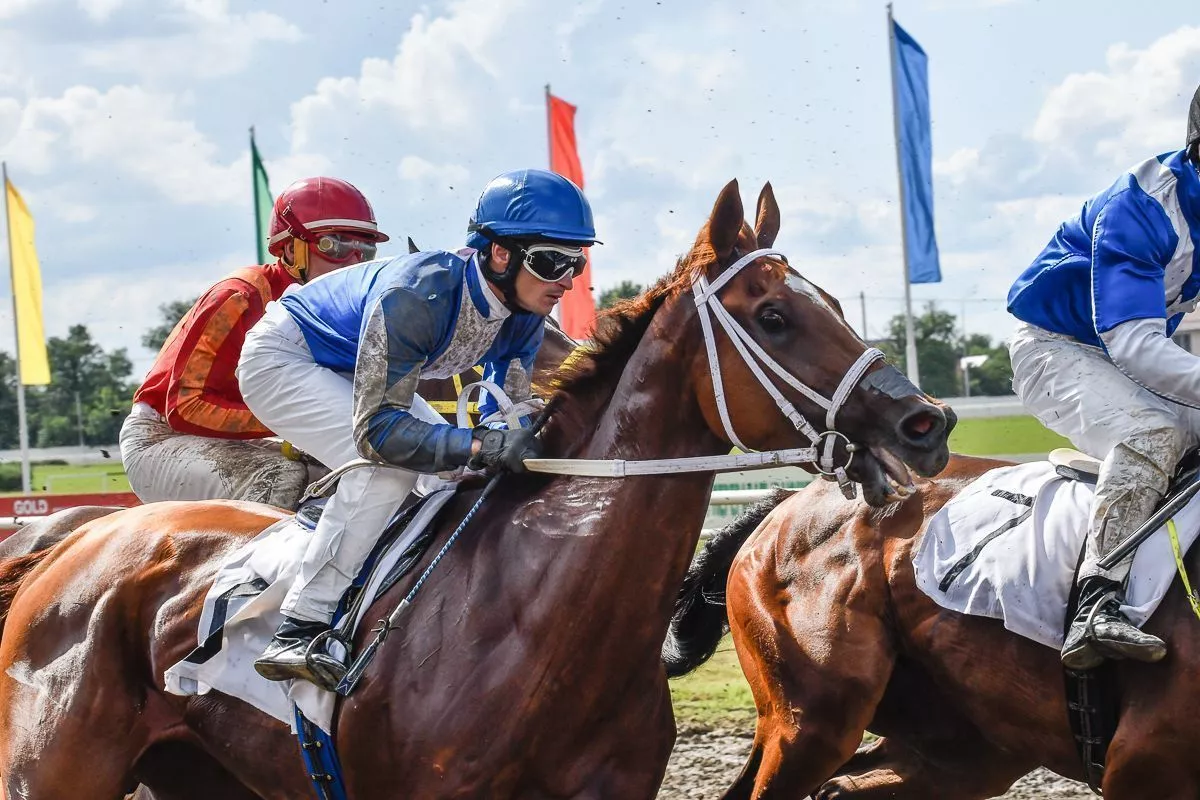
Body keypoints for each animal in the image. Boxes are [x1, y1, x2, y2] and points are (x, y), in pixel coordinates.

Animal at [0, 179, 953, 799]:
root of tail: (73, 541)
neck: (535, 621)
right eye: (775, 317)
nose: (927, 423)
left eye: (836, 303)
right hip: (53, 769)